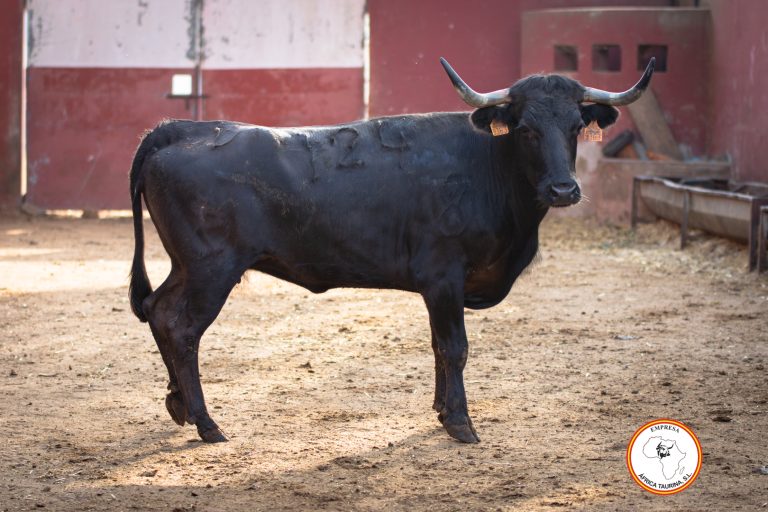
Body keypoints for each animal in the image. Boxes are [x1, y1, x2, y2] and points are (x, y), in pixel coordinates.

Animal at [129, 57, 655, 444]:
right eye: (524, 128)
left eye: (576, 126)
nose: (563, 189)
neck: (486, 166)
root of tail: (182, 128)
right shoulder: (444, 275)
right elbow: (455, 347)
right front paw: (461, 423)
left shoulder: (440, 288)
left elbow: (438, 346)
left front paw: (442, 411)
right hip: (211, 269)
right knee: (181, 326)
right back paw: (206, 423)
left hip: (187, 266)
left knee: (157, 310)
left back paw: (179, 406)